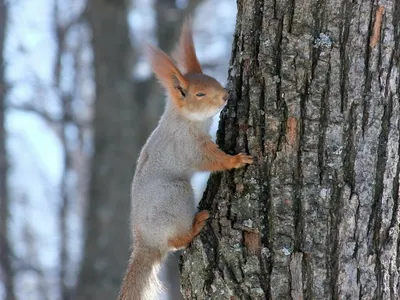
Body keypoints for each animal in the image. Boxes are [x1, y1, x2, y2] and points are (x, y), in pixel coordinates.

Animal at [116, 19, 253, 298]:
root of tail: (146, 242)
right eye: (199, 95)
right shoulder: (188, 146)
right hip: (176, 195)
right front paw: (235, 160)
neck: (186, 120)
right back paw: (195, 225)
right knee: (174, 242)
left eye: (215, 81)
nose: (225, 96)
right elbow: (209, 160)